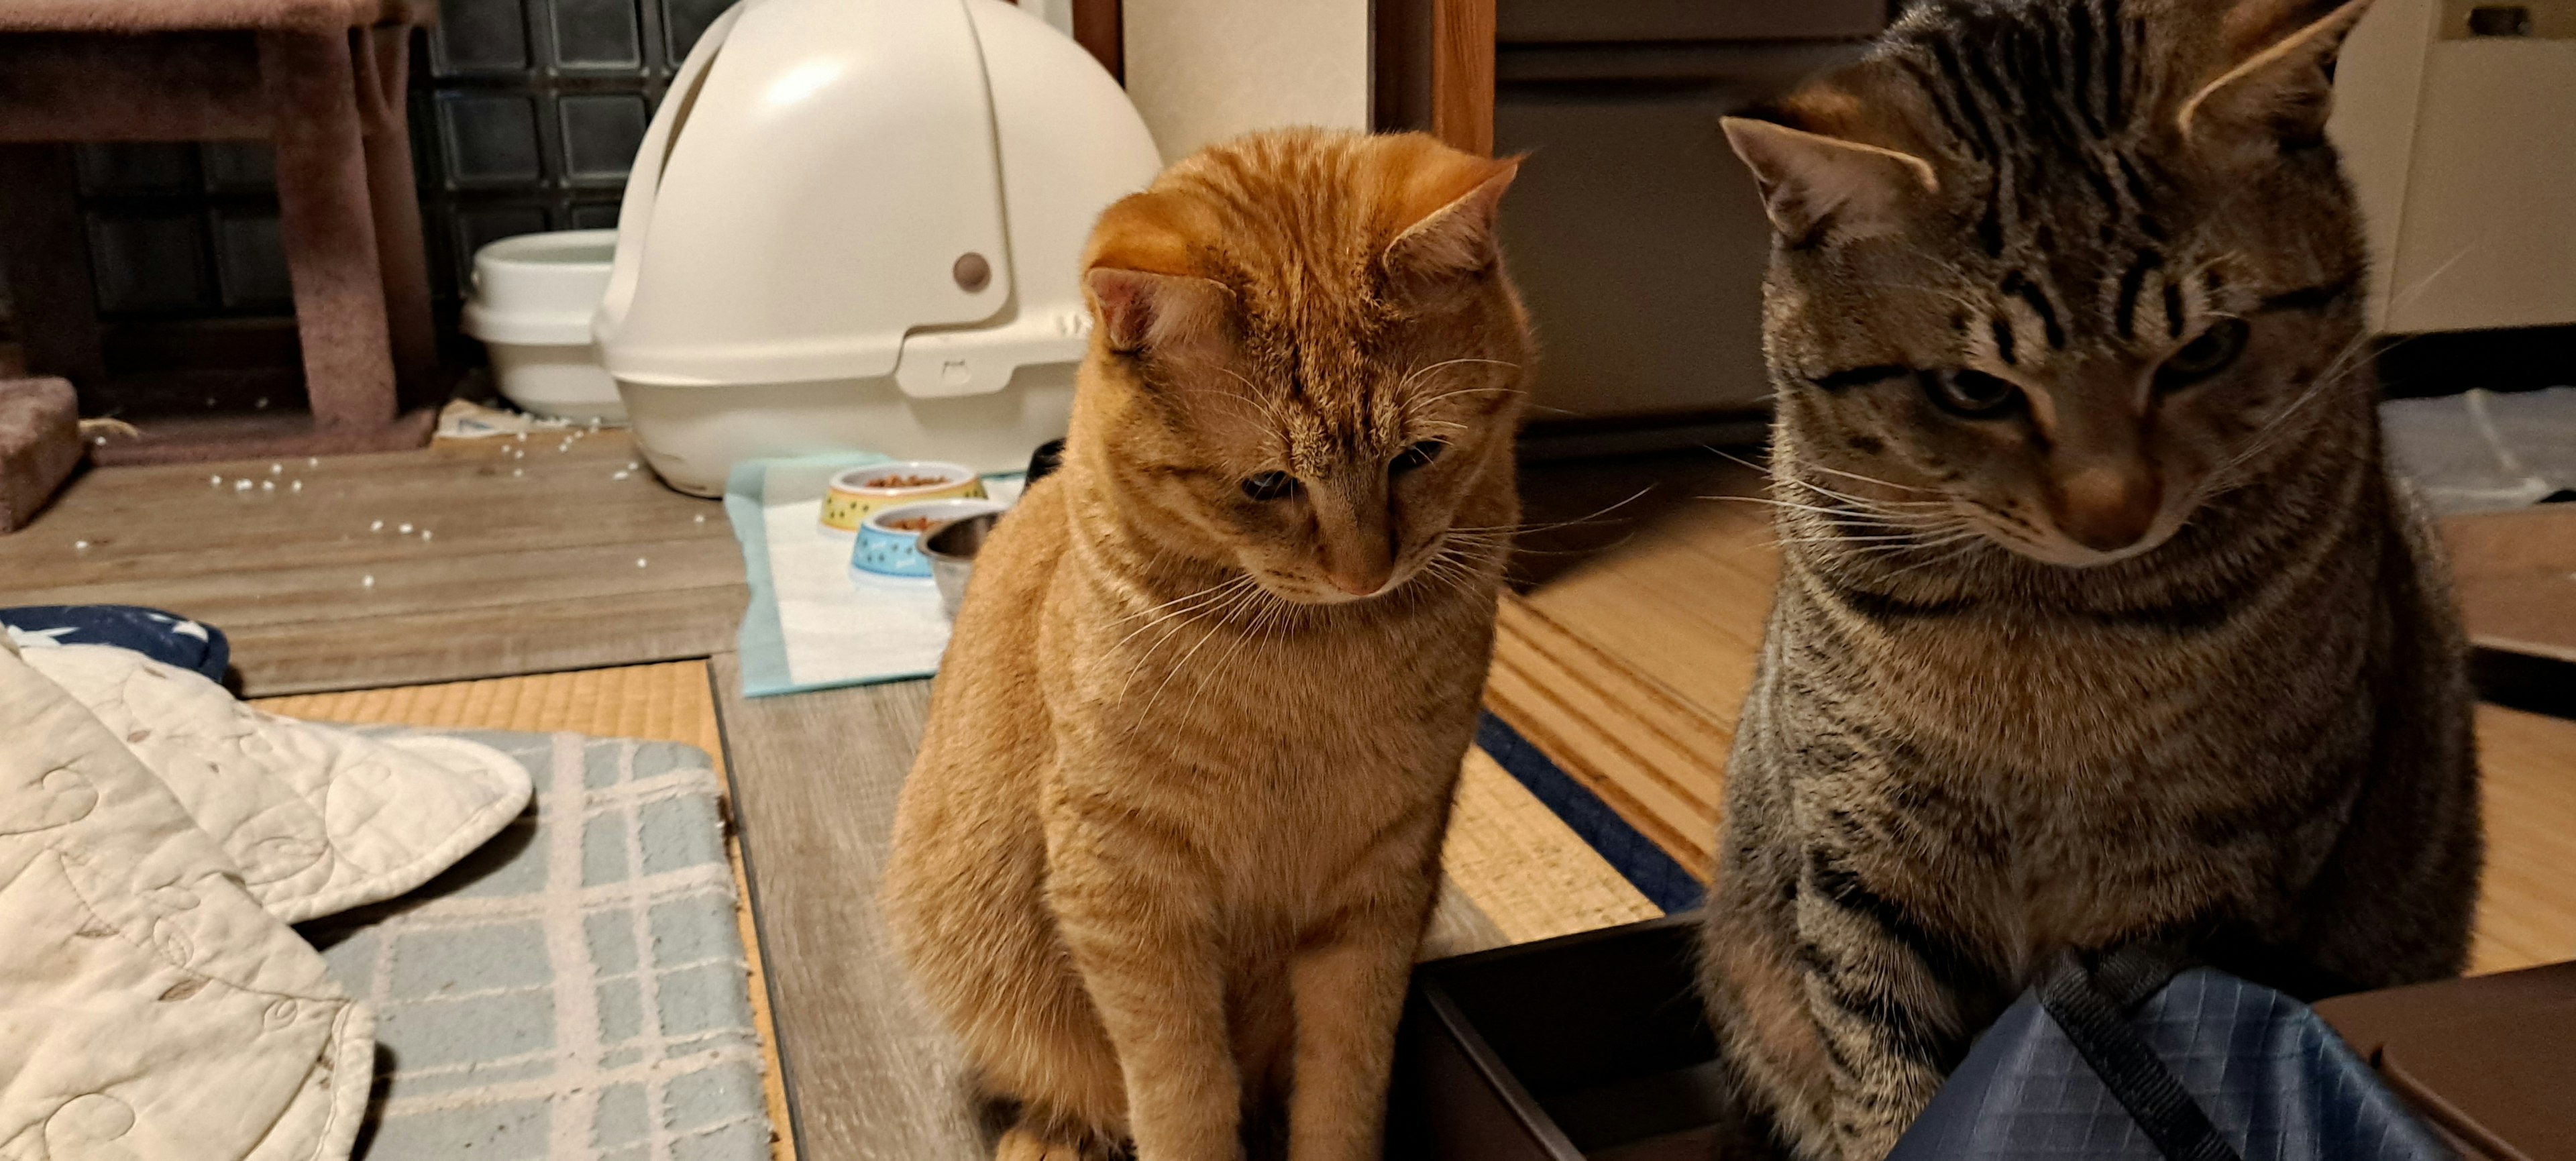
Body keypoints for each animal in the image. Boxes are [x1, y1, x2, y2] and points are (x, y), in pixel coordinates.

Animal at [885, 129, 1525, 1161]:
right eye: (1268, 484)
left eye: (1418, 456)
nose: (1365, 570)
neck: (1314, 658)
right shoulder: (1127, 893)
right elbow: (1179, 1090)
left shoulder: (1380, 888)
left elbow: (1345, 1082)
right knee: (1070, 1087)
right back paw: (1051, 1136)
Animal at [1700, 0, 2483, 1158]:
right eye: (1973, 388)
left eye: (2205, 350)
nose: (2111, 513)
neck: (2052, 630)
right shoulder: (1863, 844)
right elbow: (1881, 1056)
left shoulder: (2200, 880)